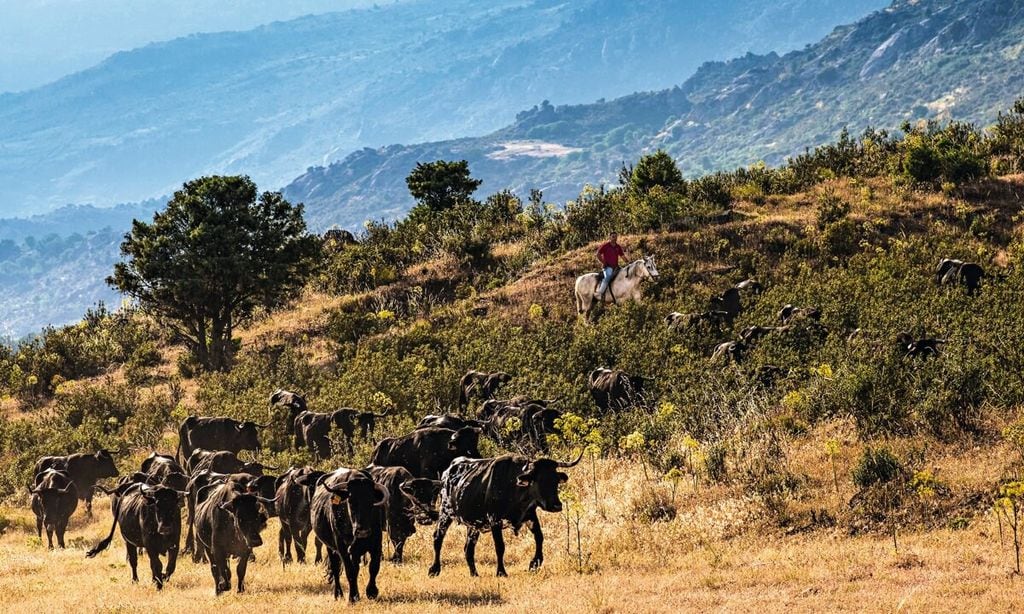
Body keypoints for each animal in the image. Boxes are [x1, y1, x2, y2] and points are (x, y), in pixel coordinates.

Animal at [425, 448, 585, 577]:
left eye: (556, 480)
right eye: (539, 480)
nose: (556, 505)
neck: (513, 487)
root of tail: (448, 470)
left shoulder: (530, 516)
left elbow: (539, 537)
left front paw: (535, 563)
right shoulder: (495, 520)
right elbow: (500, 546)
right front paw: (501, 572)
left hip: (473, 524)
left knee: (468, 548)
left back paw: (474, 573)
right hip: (445, 512)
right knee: (438, 538)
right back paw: (434, 569)